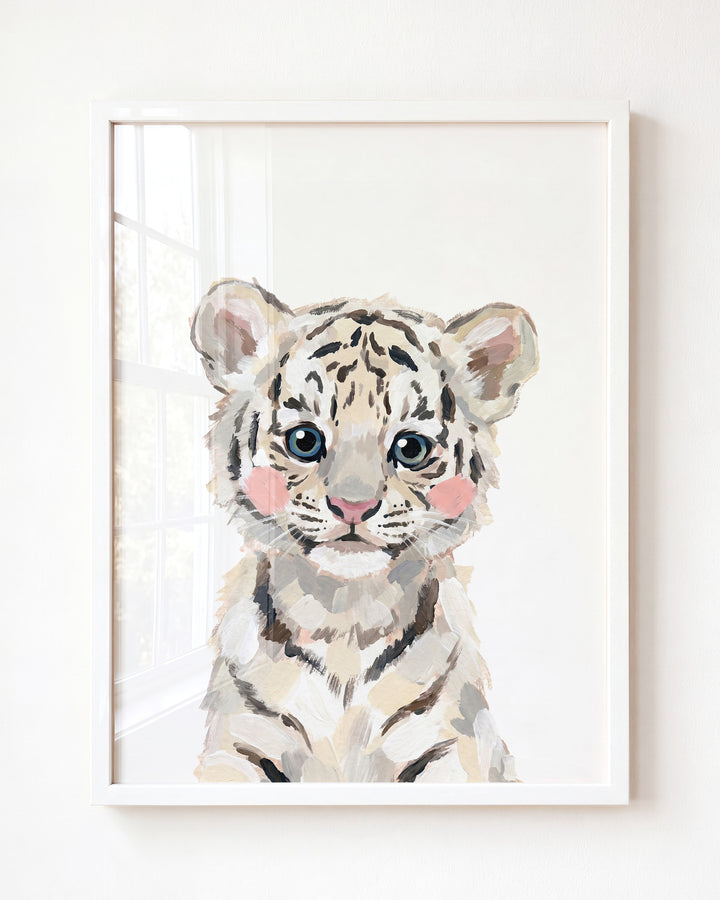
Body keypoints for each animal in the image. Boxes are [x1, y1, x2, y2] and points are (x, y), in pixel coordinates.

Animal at [190, 278, 538, 783]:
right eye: (304, 441)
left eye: (410, 448)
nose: (353, 506)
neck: (344, 619)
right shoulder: (236, 749)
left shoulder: (454, 749)